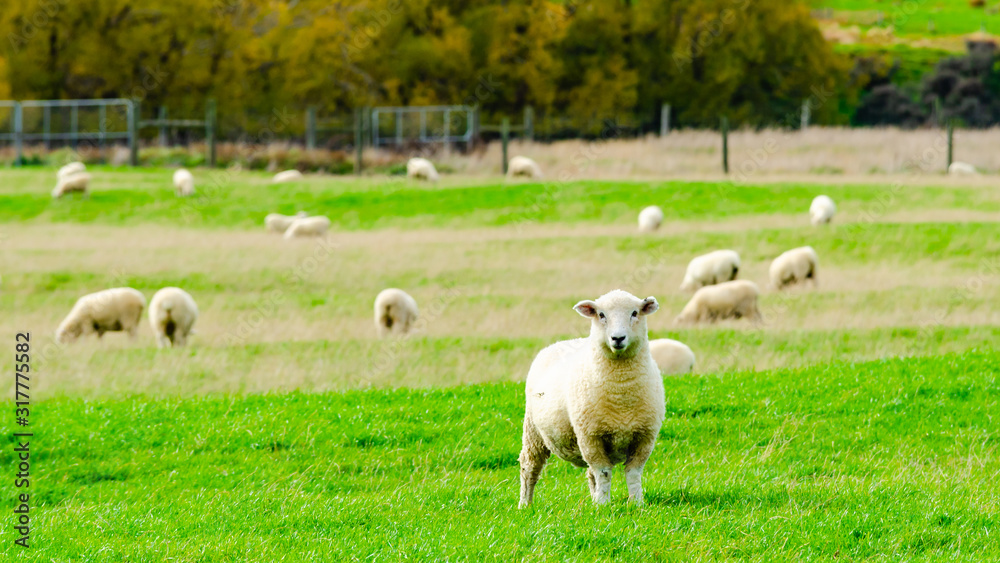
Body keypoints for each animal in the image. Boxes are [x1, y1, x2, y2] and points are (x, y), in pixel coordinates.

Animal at [518, 290, 664, 507]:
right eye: (601, 315)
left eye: (634, 313)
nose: (617, 338)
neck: (621, 394)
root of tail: (561, 343)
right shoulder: (590, 437)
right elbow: (603, 473)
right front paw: (604, 505)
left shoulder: (644, 437)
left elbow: (633, 474)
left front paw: (636, 503)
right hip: (533, 432)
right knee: (529, 467)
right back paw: (525, 505)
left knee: (590, 474)